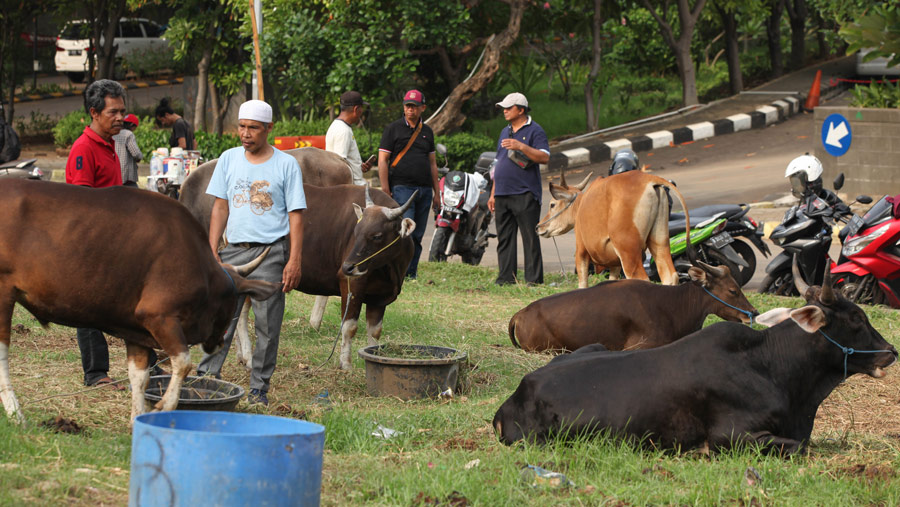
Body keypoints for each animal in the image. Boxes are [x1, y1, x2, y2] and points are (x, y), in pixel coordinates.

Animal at [0, 181, 280, 422]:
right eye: (231, 303)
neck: (200, 265)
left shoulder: (136, 332)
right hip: (3, 295)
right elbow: (183, 362)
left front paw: (137, 420)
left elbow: (139, 377)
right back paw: (15, 412)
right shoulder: (159, 316)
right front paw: (164, 405)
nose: (219, 342)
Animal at [234, 185, 414, 372]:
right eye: (356, 232)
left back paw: (240, 356)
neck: (389, 268)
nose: (348, 267)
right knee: (242, 315)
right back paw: (248, 358)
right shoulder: (351, 285)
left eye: (377, 235)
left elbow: (375, 332)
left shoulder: (379, 297)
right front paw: (346, 364)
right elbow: (349, 327)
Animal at [536, 171, 692, 290]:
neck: (580, 206)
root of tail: (648, 178)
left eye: (552, 204)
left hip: (628, 253)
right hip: (660, 241)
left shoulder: (581, 253)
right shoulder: (615, 264)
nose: (538, 227)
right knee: (670, 276)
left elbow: (582, 285)